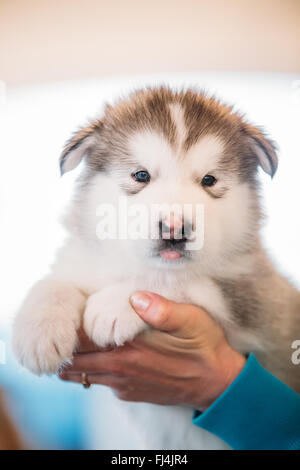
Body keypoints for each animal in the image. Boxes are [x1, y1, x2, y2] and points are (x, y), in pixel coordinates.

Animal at [12, 86, 300, 450]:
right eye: (141, 175)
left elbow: (176, 280)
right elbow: (55, 283)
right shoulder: (83, 260)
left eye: (209, 180)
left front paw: (114, 305)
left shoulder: (251, 296)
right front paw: (37, 331)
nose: (175, 229)